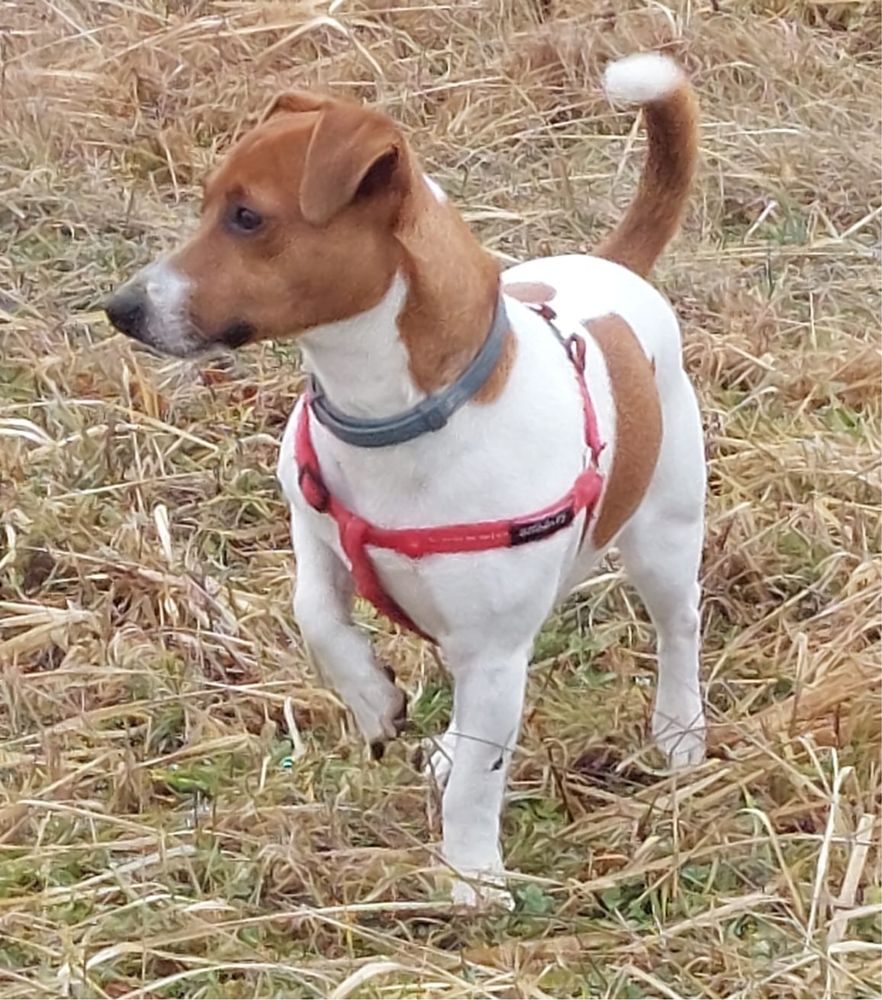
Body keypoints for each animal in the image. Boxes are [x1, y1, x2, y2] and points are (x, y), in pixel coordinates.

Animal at [106, 50, 704, 912]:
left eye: (248, 218)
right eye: (208, 204)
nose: (121, 308)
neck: (389, 414)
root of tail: (612, 268)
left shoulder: (494, 648)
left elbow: (482, 778)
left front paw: (473, 877)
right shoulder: (317, 535)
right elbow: (317, 615)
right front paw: (372, 699)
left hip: (664, 536)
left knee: (678, 628)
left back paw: (680, 730)